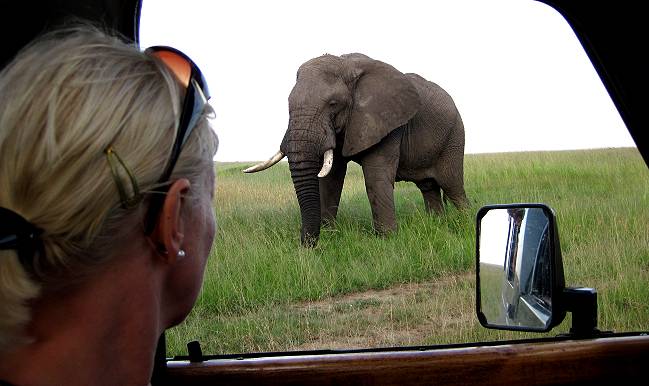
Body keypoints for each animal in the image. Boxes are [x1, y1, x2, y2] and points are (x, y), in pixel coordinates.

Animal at [243, 52, 466, 246]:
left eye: (333, 104)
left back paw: (463, 221)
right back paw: (436, 223)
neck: (347, 65)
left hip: (455, 136)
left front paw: (387, 240)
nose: (307, 246)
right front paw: (330, 234)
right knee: (428, 187)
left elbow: (375, 177)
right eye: (288, 105)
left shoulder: (385, 120)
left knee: (453, 186)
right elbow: (331, 178)